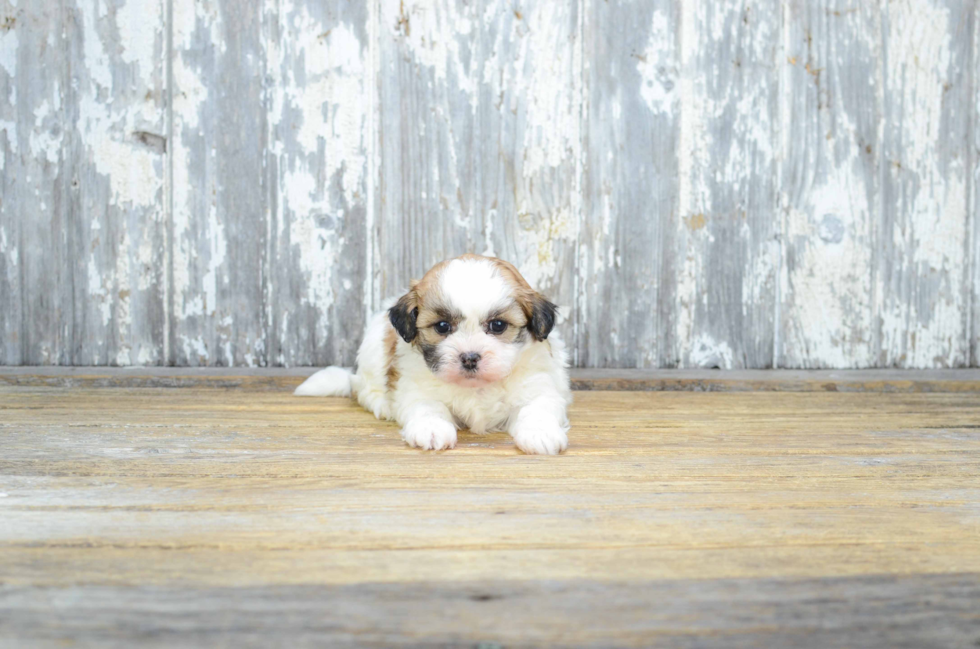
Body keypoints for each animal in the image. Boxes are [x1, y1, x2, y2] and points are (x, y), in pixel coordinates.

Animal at [296, 254, 576, 456]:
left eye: (498, 325)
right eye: (442, 326)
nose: (470, 357)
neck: (476, 388)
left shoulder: (539, 386)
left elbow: (538, 407)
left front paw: (540, 433)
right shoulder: (417, 389)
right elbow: (428, 406)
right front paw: (431, 429)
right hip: (373, 351)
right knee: (362, 388)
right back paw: (382, 404)